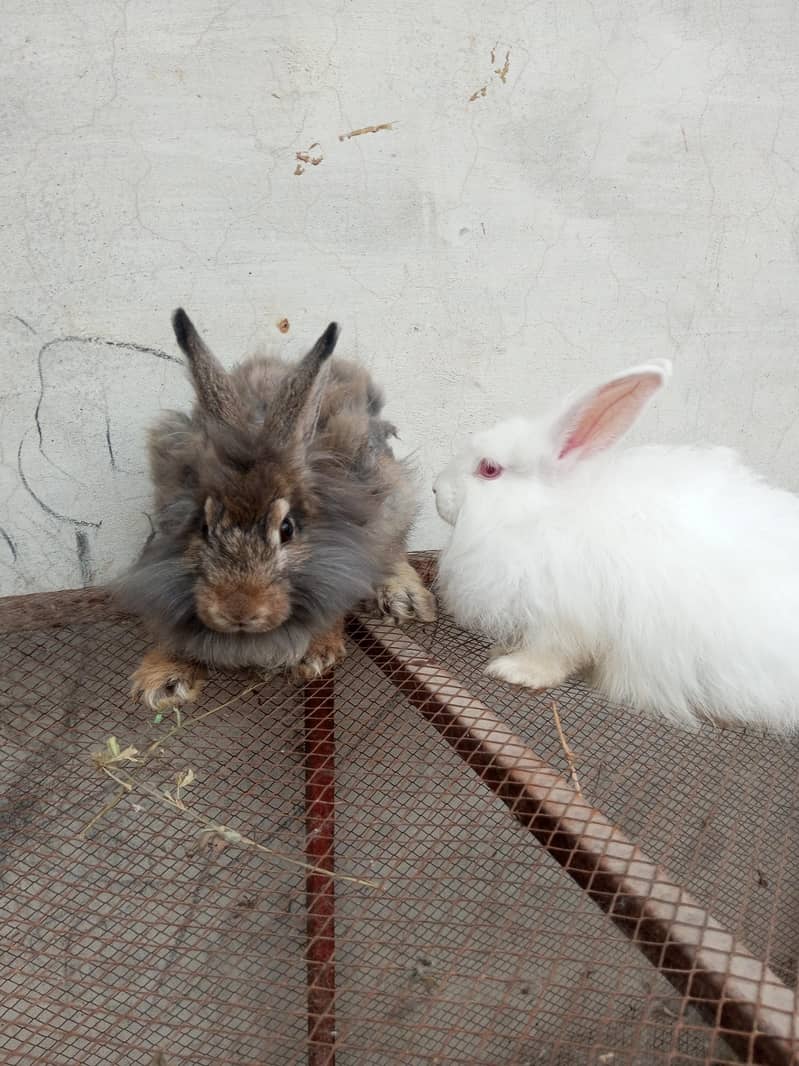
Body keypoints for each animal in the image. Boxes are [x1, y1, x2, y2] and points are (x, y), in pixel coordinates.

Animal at [116, 308, 436, 710]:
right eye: (202, 527)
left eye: (287, 529)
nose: (238, 610)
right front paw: (161, 678)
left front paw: (316, 653)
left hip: (394, 499)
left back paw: (403, 599)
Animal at [433, 359, 799, 730]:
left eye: (489, 469)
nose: (436, 489)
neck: (540, 514)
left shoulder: (565, 614)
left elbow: (551, 654)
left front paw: (513, 671)